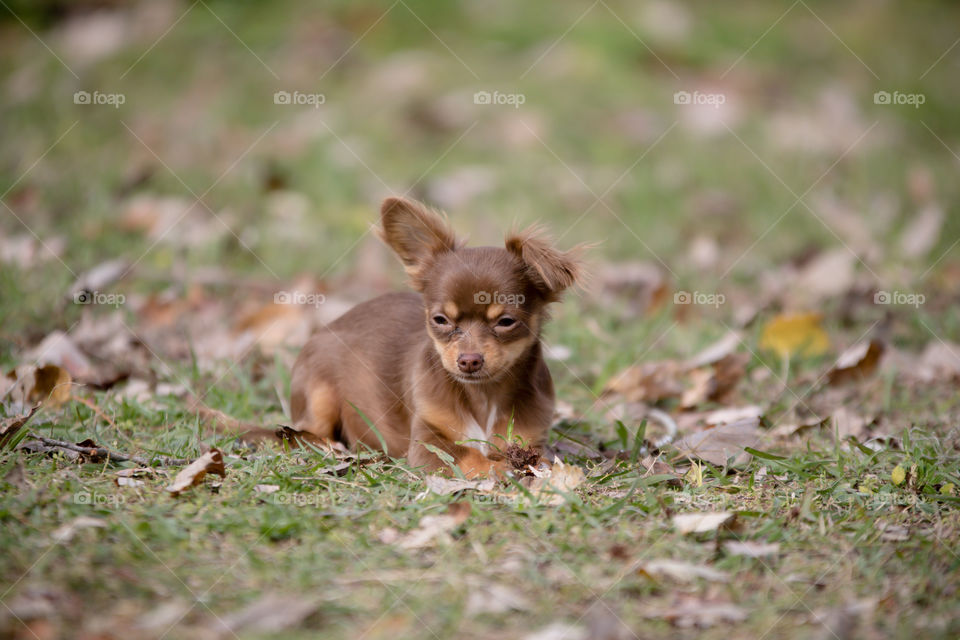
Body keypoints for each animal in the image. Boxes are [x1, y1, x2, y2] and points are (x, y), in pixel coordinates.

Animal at [288, 198, 580, 478]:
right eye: (441, 320)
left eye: (506, 322)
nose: (469, 361)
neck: (483, 396)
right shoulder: (426, 443)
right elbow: (470, 456)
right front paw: (503, 468)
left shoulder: (531, 439)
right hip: (319, 390)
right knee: (306, 431)